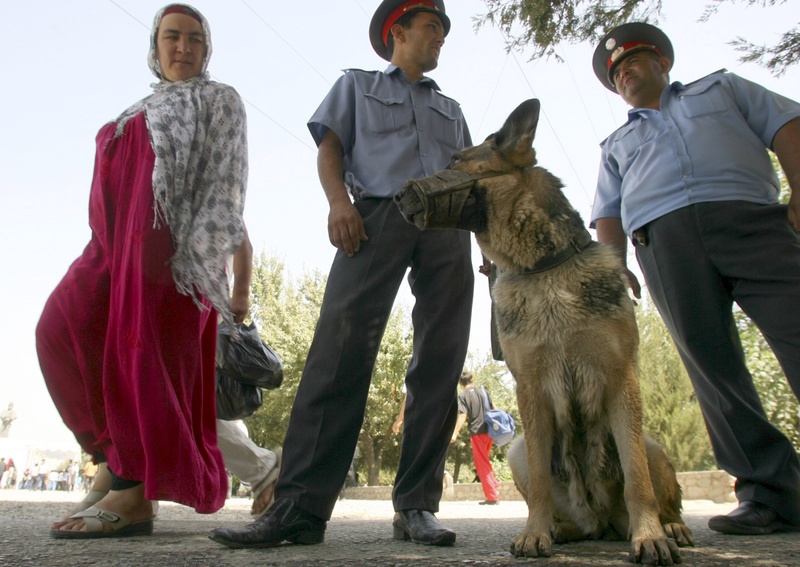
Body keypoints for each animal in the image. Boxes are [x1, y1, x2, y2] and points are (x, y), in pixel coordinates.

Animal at [394, 101, 692, 564]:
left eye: (455, 161)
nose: (394, 197)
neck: (543, 269)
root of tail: (603, 522)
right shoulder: (531, 390)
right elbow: (537, 479)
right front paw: (535, 533)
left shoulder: (622, 380)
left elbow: (637, 478)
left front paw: (649, 536)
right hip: (518, 449)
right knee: (559, 503)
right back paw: (559, 528)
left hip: (653, 443)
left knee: (658, 486)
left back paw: (670, 526)